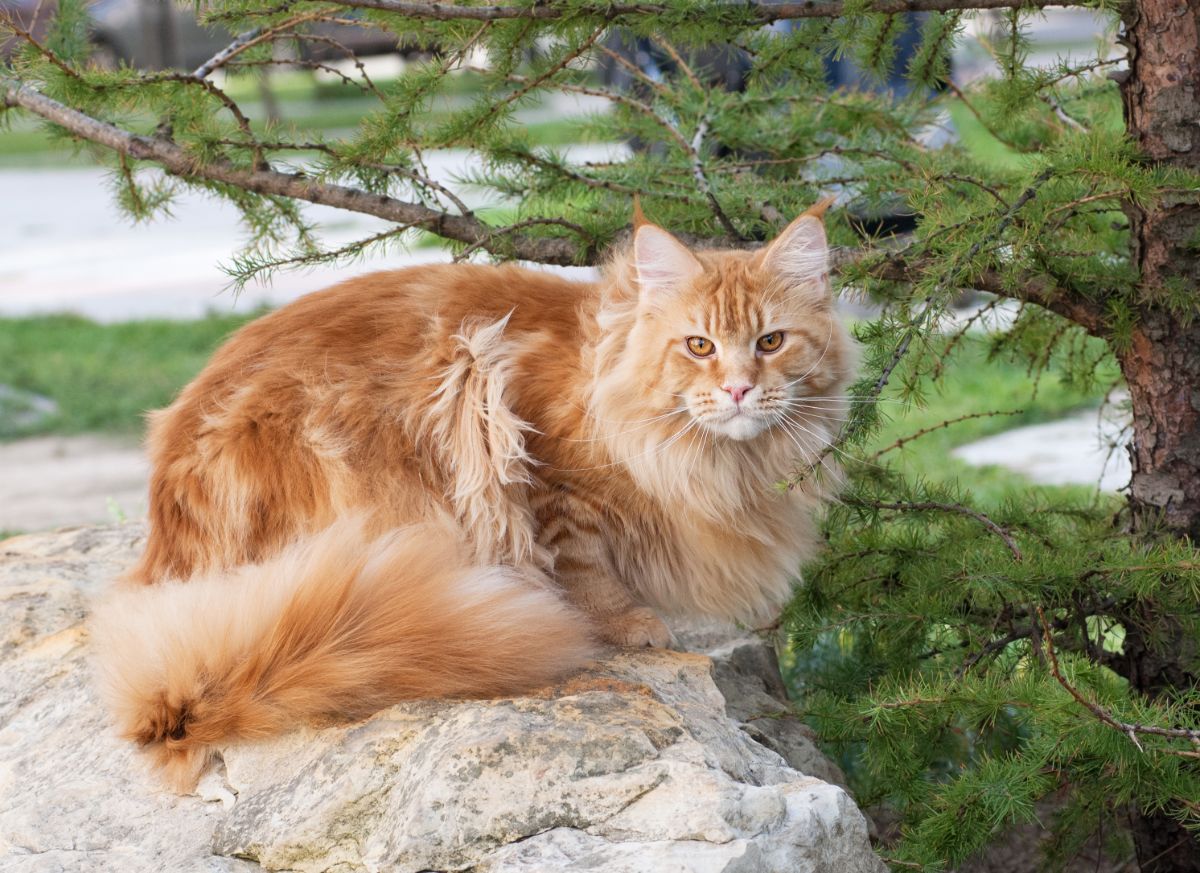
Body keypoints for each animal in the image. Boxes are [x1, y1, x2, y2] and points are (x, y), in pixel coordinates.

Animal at [93, 199, 859, 791]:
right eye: (699, 346)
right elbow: (581, 560)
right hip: (445, 393)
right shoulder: (540, 463)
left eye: (771, 342)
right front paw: (621, 621)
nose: (739, 389)